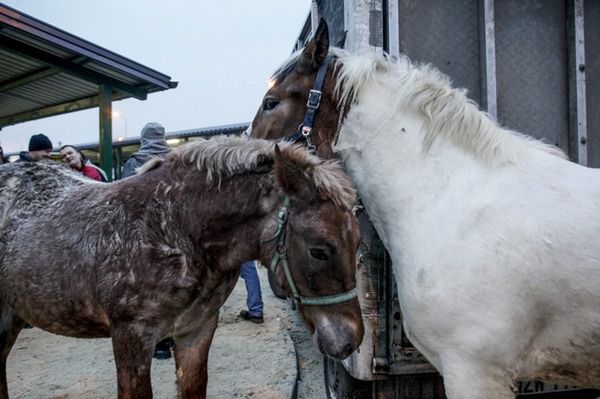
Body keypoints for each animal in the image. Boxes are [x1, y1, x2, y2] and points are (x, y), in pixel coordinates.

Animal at [0, 136, 360, 398]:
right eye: (319, 250)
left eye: (358, 243)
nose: (351, 341)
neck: (176, 228)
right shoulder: (131, 338)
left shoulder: (196, 330)